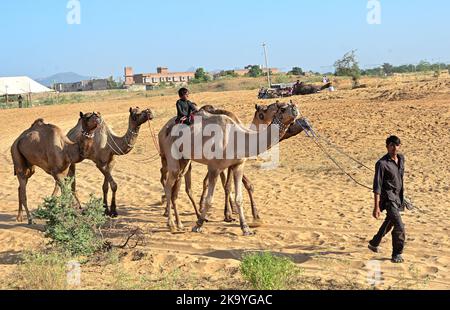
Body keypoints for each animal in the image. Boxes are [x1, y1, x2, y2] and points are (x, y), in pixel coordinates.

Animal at [158, 101, 298, 235]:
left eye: (293, 104)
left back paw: (179, 224)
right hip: (170, 152)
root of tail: (164, 129)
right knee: (169, 184)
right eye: (282, 109)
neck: (237, 138)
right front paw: (198, 225)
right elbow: (210, 199)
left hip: (185, 159)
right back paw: (171, 224)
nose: (295, 109)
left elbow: (238, 198)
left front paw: (245, 228)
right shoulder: (214, 167)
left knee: (177, 182)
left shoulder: (238, 165)